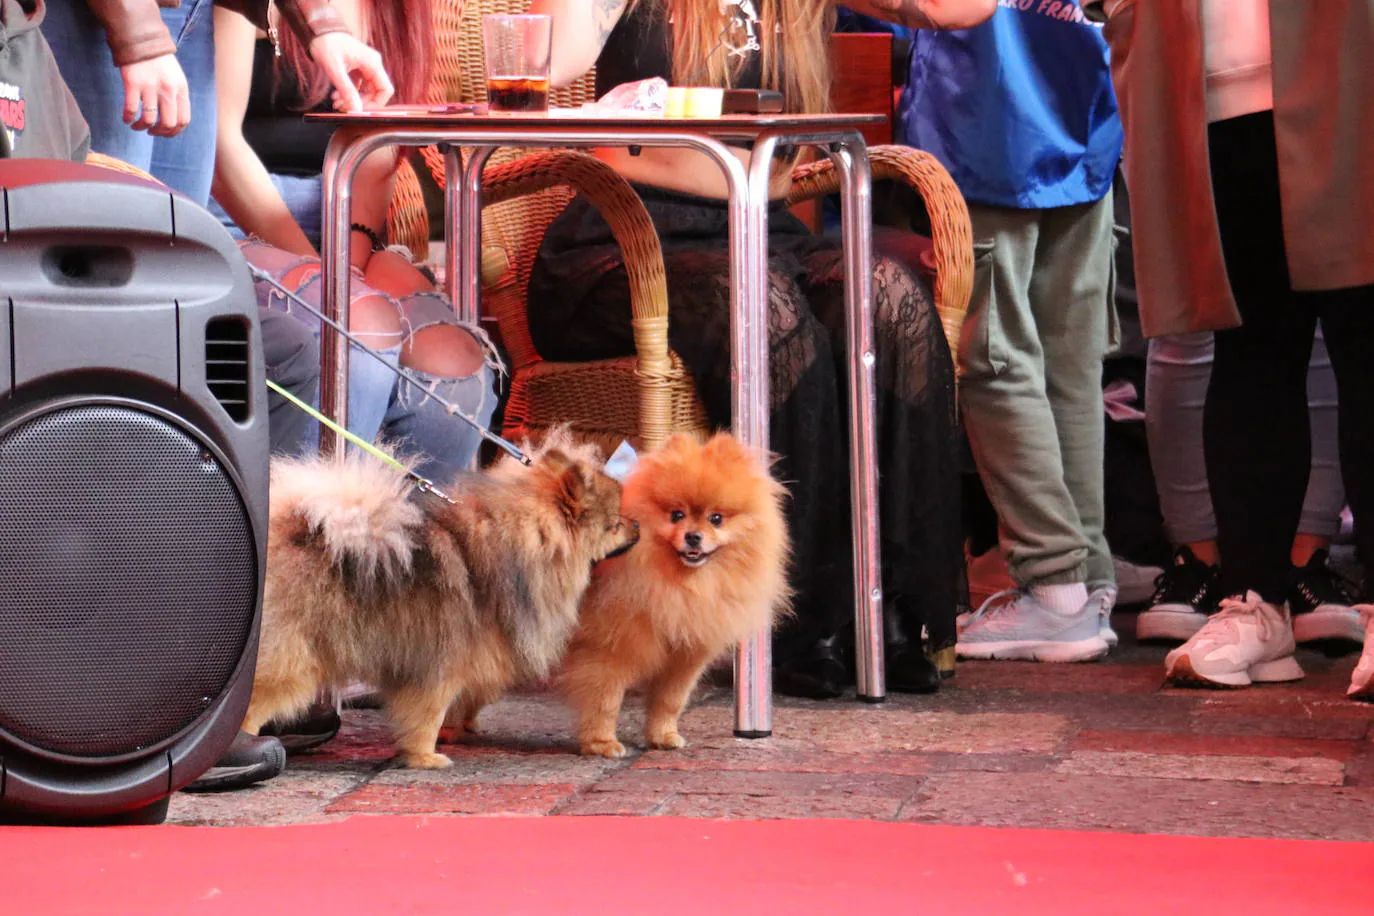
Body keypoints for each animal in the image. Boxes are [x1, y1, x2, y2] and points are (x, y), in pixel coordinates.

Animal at [560, 433, 796, 758]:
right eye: (677, 515)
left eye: (716, 518)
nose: (693, 536)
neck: (681, 586)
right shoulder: (607, 648)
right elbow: (604, 700)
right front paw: (601, 743)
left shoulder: (684, 655)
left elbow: (670, 700)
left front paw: (663, 736)